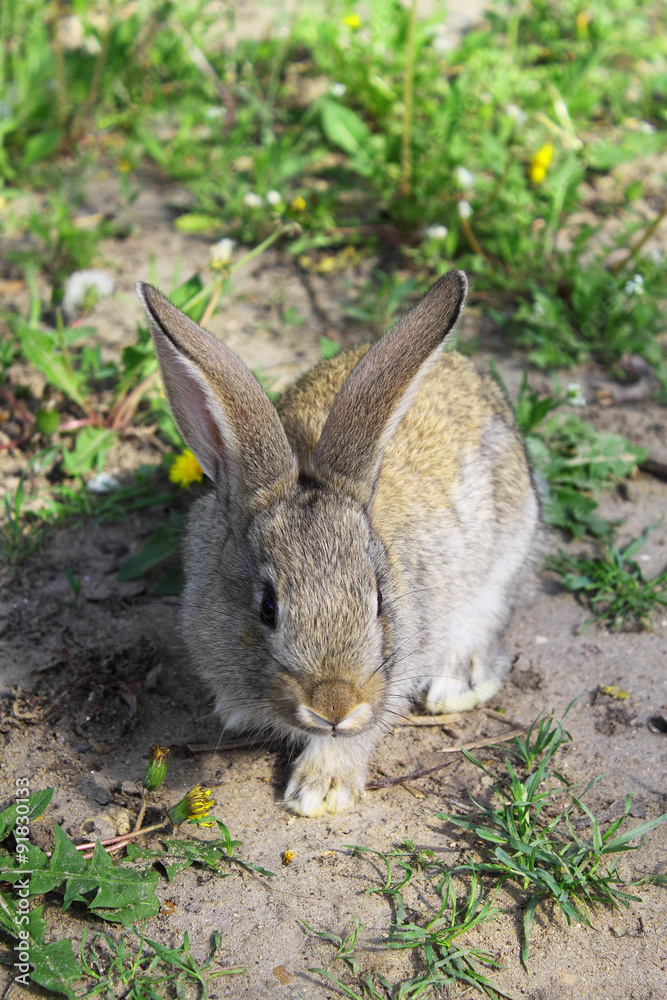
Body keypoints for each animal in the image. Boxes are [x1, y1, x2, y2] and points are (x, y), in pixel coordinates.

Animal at [137, 270, 541, 817]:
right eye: (267, 607)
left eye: (378, 601)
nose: (334, 707)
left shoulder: (393, 674)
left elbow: (367, 727)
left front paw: (320, 790)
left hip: (505, 554)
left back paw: (456, 685)